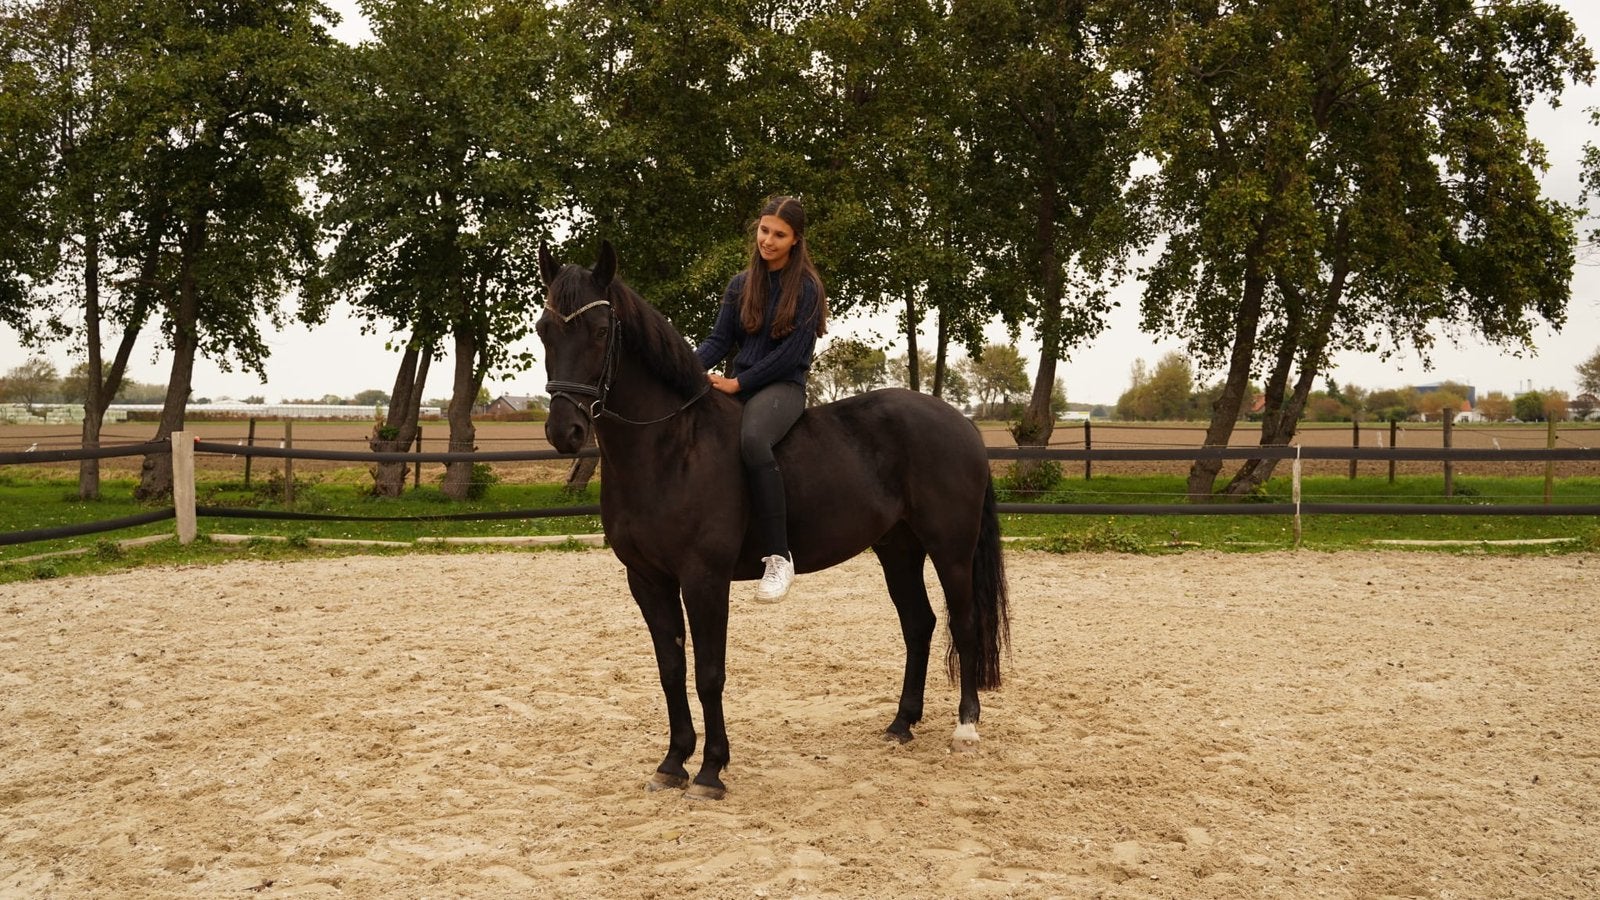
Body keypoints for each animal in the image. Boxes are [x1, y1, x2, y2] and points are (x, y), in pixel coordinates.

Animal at [536, 240, 1009, 800]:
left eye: (601, 330)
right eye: (544, 329)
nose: (564, 430)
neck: (671, 447)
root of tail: (962, 422)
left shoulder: (704, 578)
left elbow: (709, 672)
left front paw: (711, 770)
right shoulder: (647, 579)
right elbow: (671, 669)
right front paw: (672, 763)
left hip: (950, 548)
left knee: (963, 622)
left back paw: (965, 727)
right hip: (898, 549)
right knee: (919, 624)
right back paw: (901, 724)